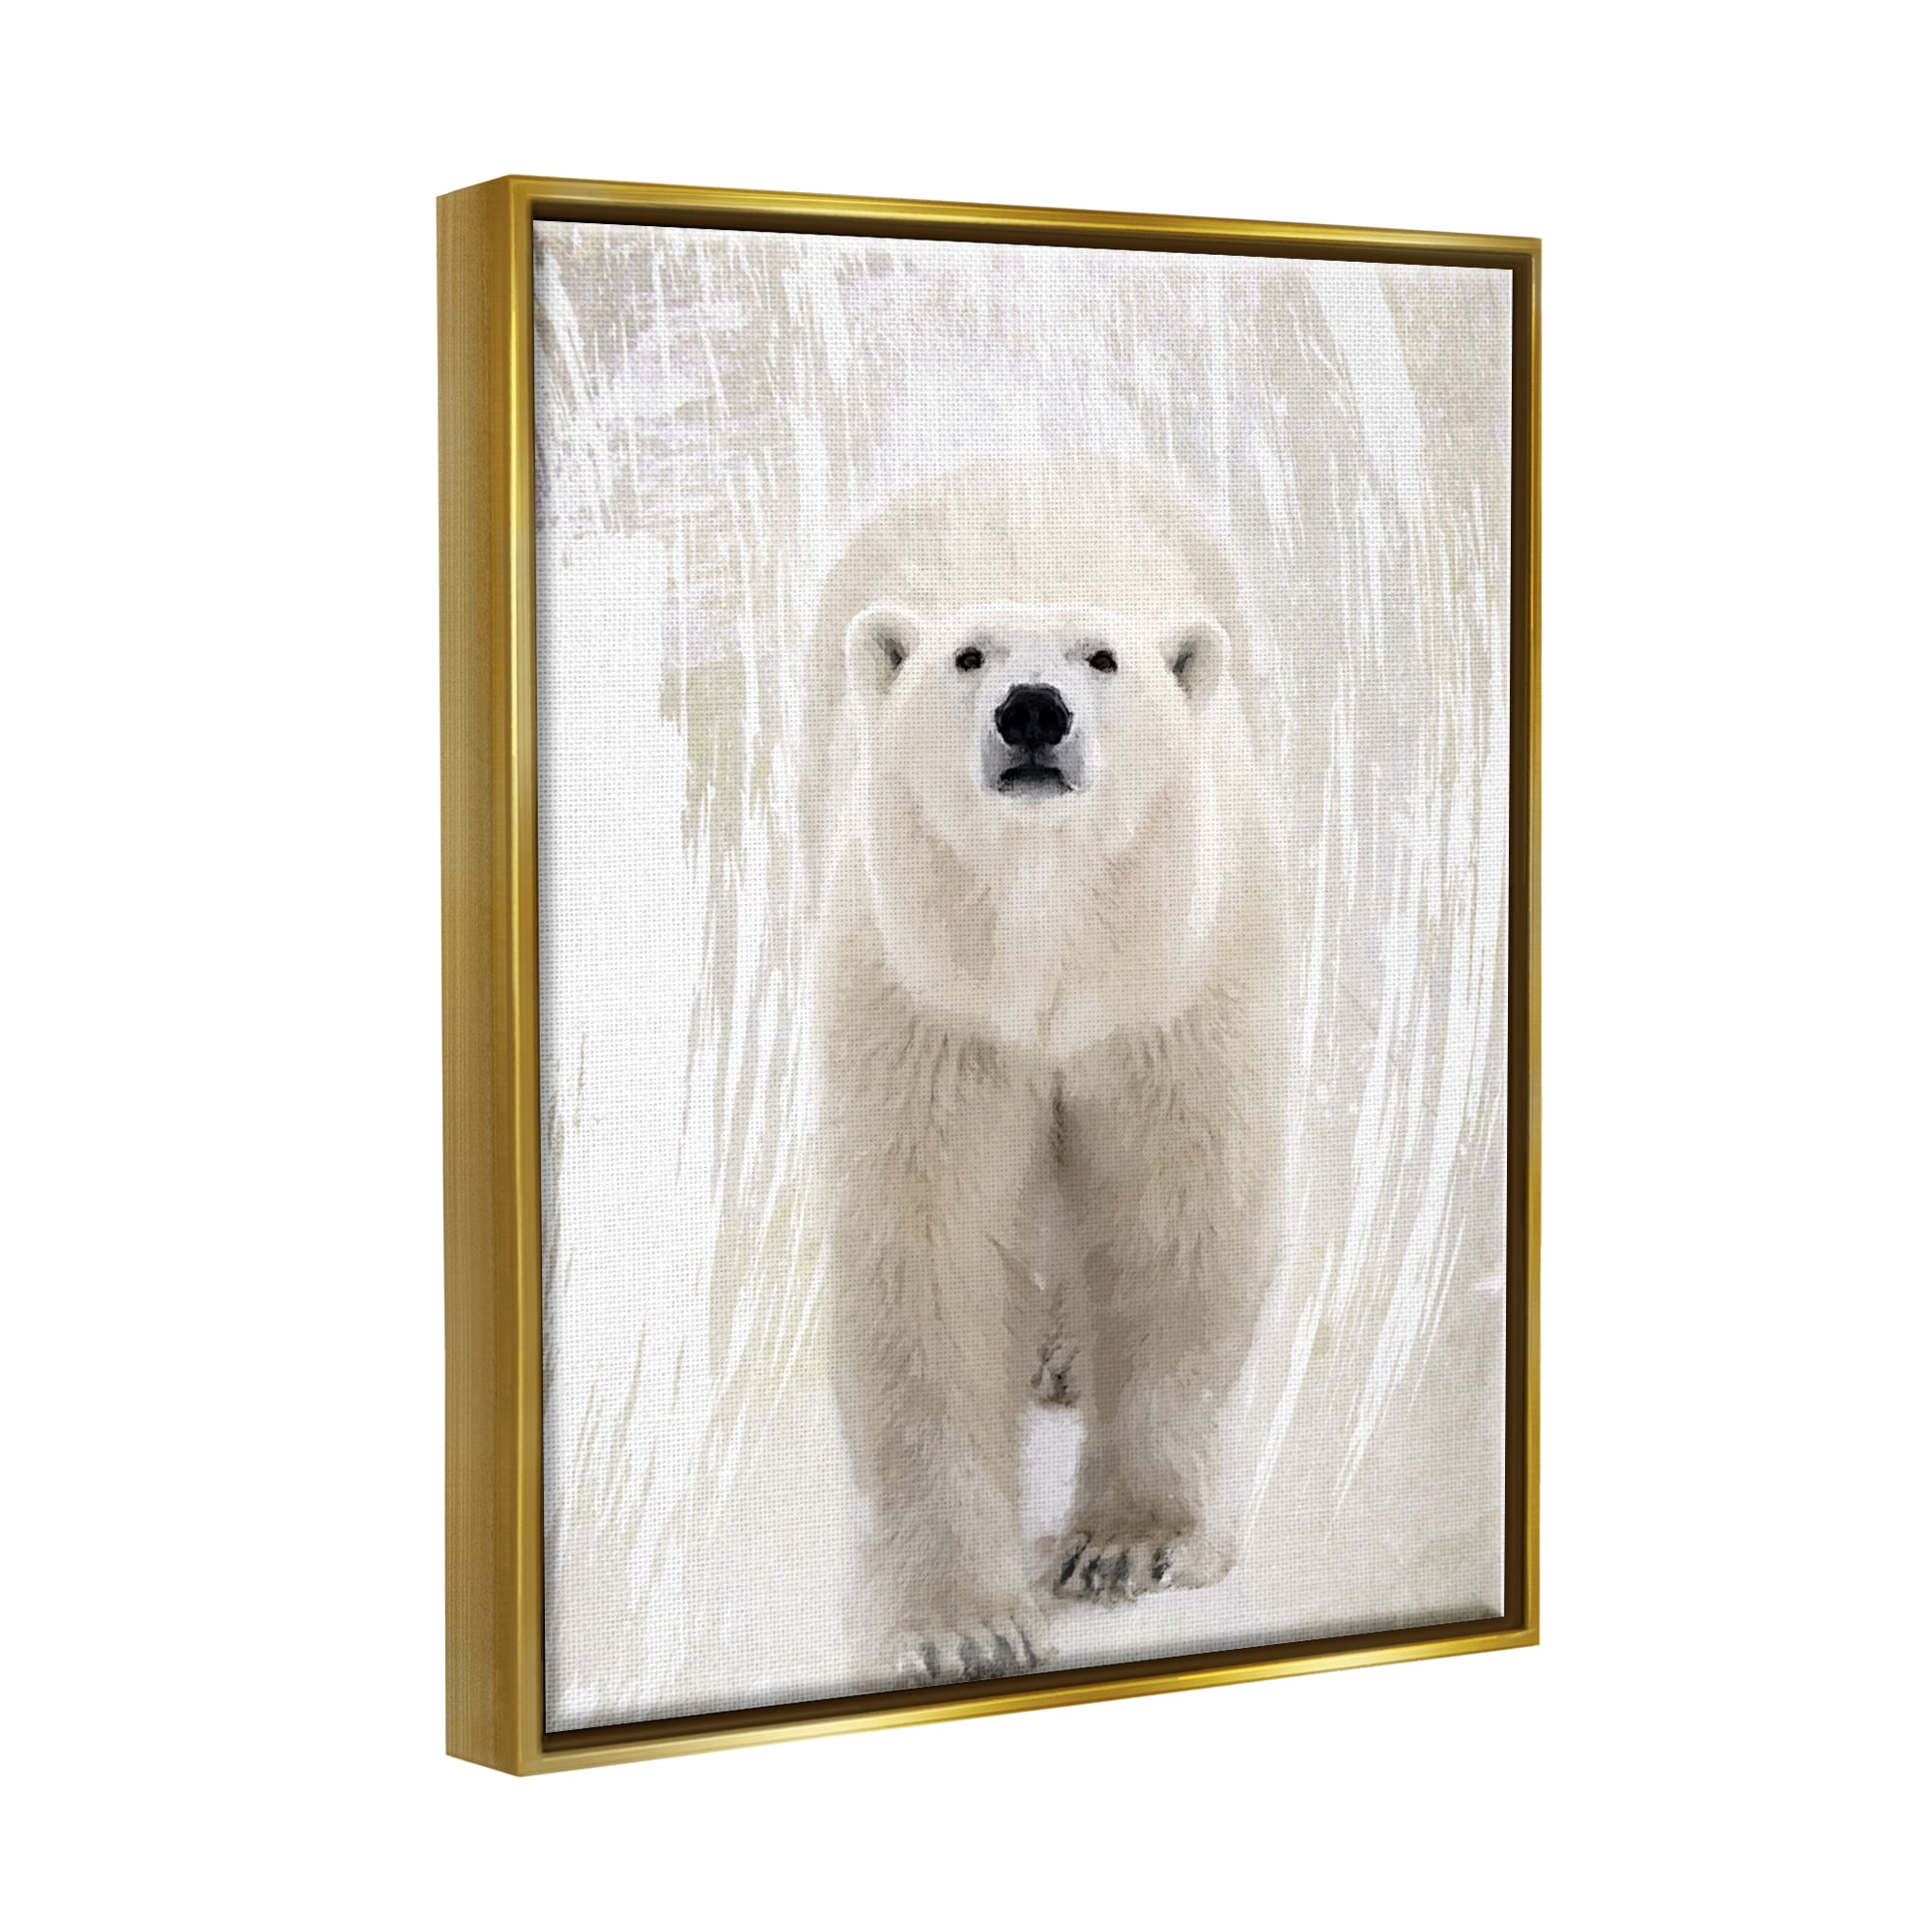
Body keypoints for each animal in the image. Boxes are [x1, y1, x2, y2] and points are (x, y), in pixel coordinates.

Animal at [808, 457, 1290, 1687]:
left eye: (1102, 657)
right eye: (966, 655)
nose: (1033, 709)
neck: (1047, 938)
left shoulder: (1170, 988)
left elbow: (1170, 1211)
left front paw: (1127, 1546)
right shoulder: (931, 1004)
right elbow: (928, 1247)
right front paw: (961, 1624)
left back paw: (1068, 1349)